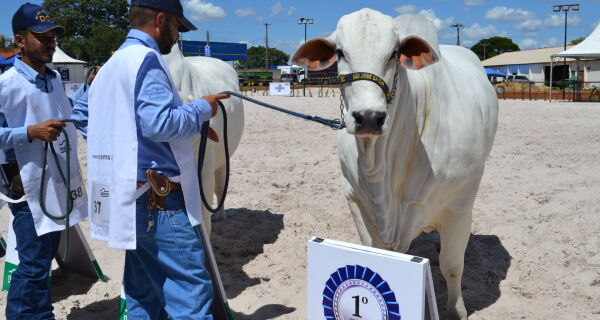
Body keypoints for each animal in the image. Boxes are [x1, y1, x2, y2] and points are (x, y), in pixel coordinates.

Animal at [292, 10, 496, 320]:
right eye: (340, 52)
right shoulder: (354, 198)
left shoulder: (458, 206)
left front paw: (457, 310)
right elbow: (375, 248)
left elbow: (452, 266)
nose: (368, 117)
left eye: (394, 53)